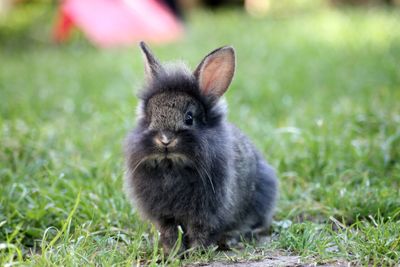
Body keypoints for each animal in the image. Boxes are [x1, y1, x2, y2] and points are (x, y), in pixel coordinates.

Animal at [125, 42, 278, 255]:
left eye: (189, 118)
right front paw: (173, 253)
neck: (173, 164)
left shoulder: (206, 213)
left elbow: (201, 230)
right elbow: (170, 232)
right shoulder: (164, 216)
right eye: (148, 119)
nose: (165, 140)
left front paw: (195, 252)